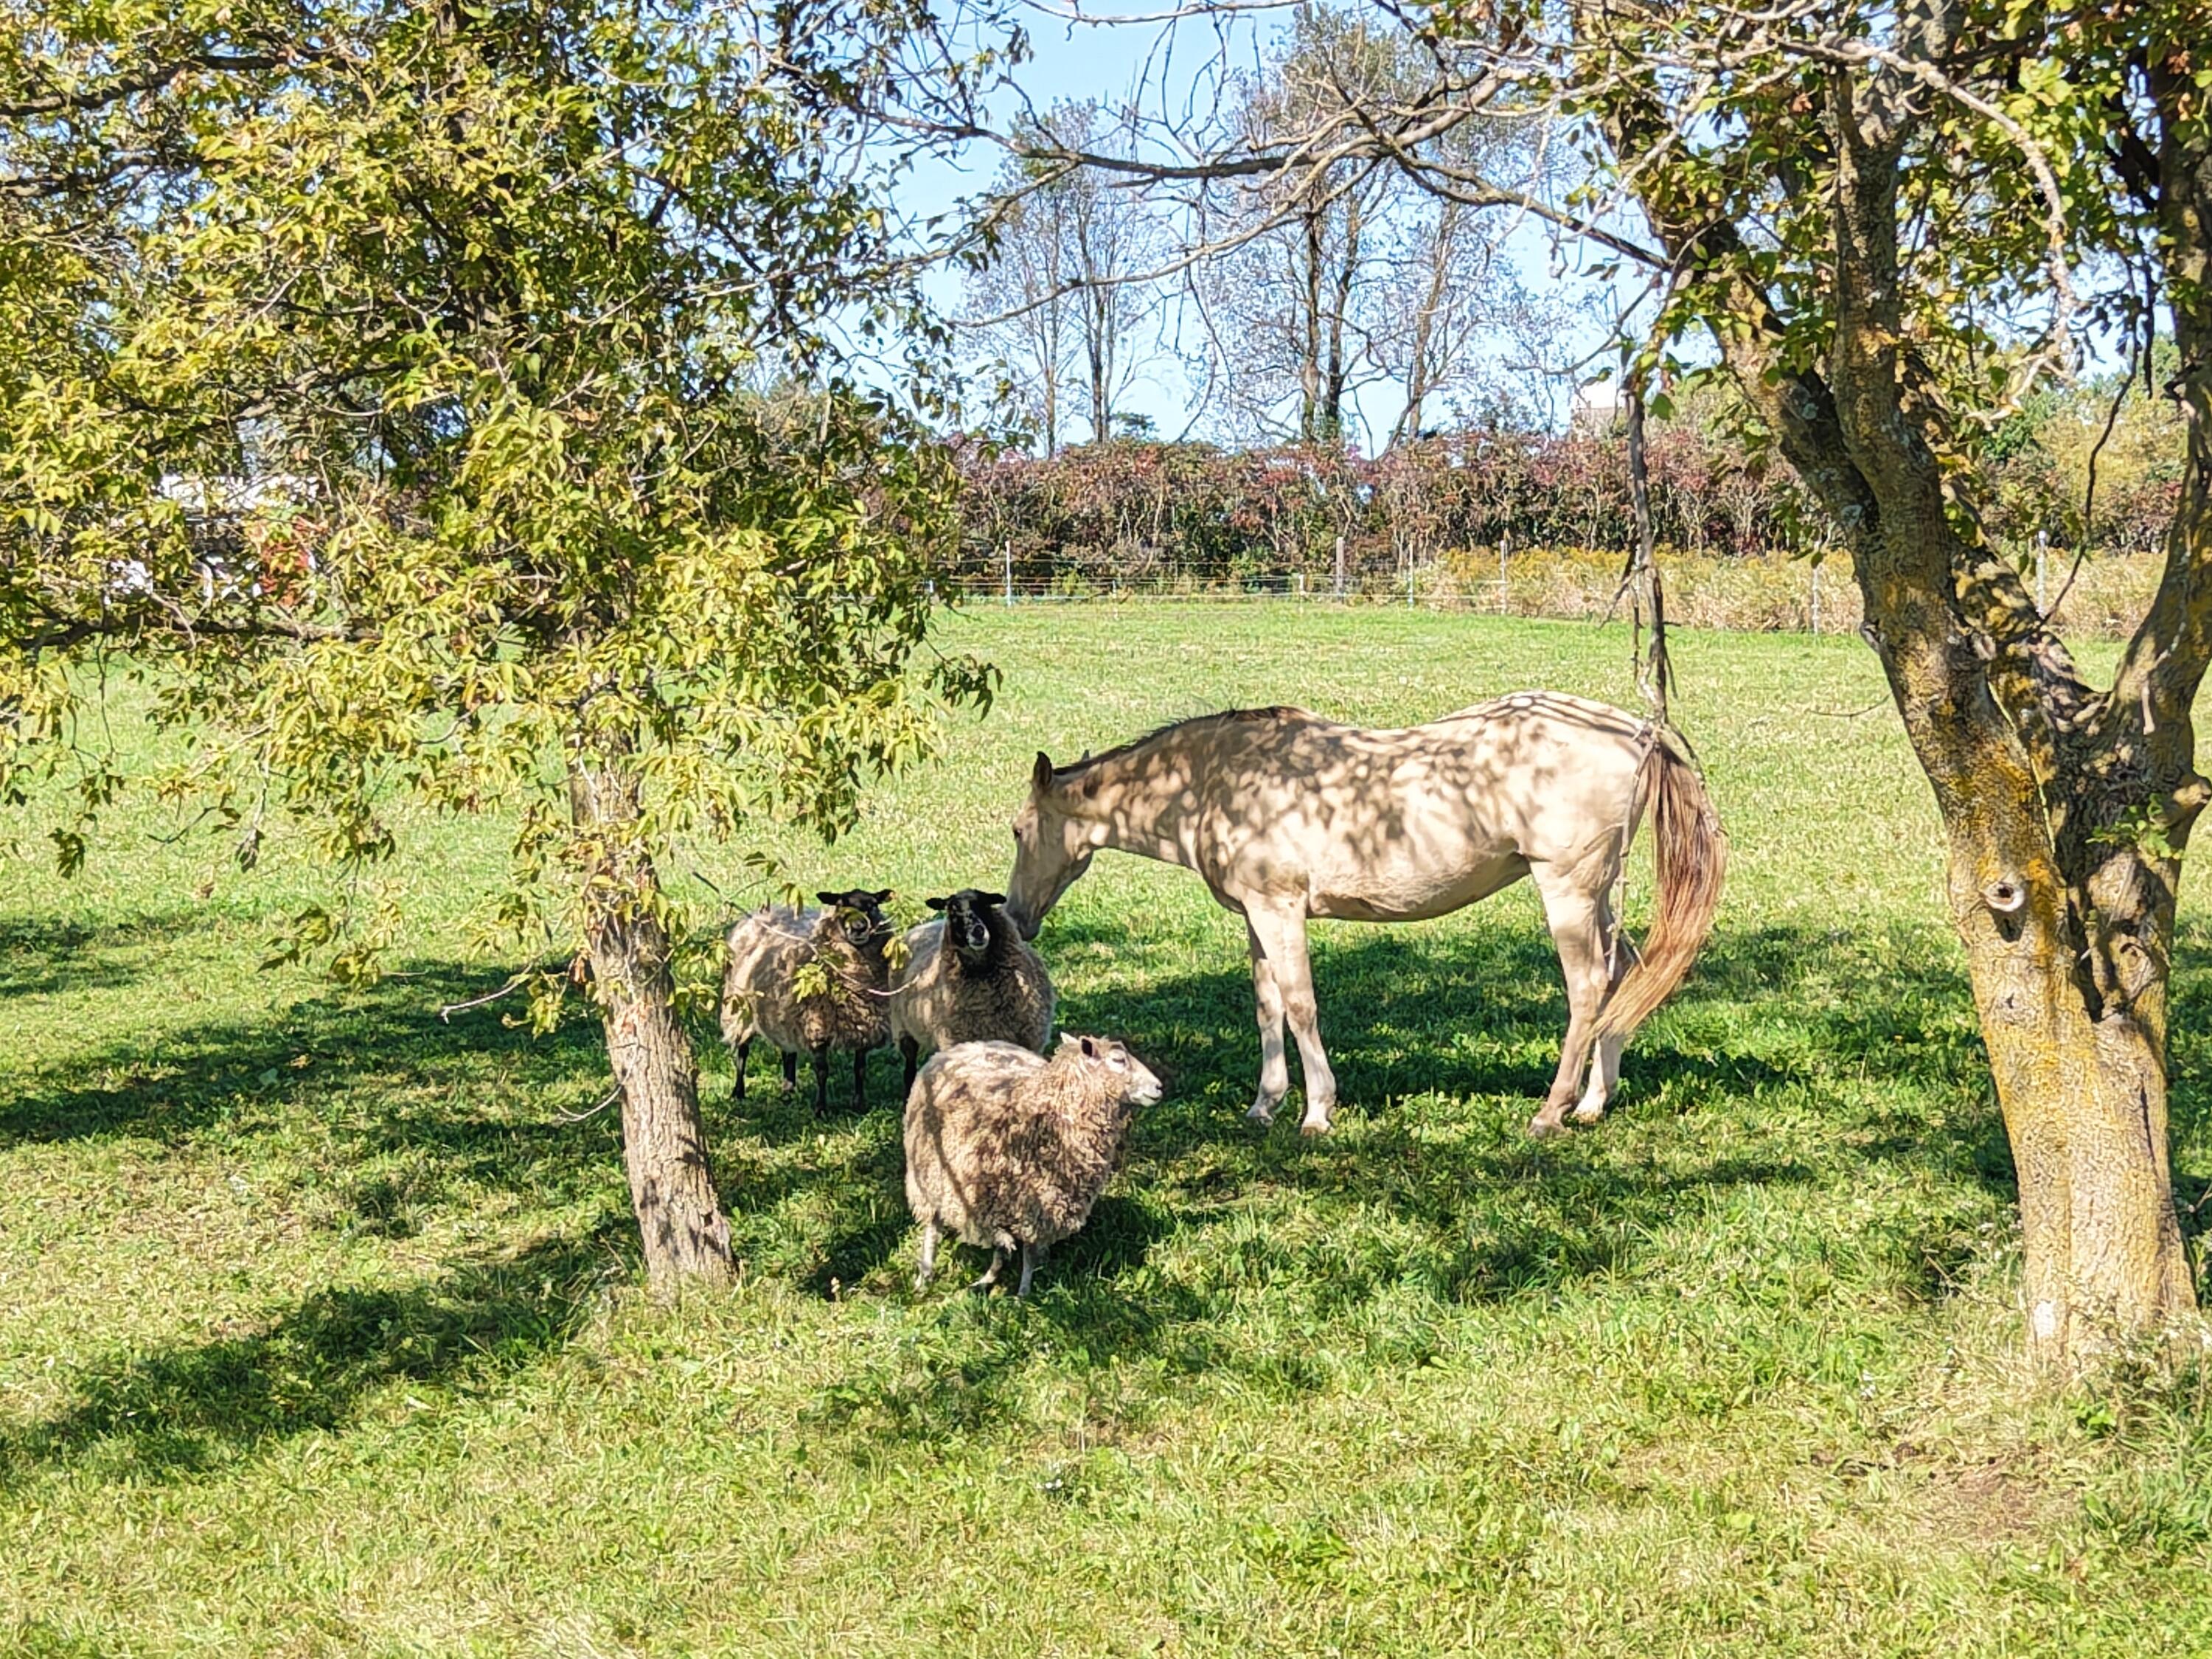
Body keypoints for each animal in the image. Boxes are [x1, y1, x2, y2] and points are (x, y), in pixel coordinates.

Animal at [721, 887, 894, 1116]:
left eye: (873, 905)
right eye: (840, 905)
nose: (859, 928)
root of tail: (763, 912)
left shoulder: (864, 1028)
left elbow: (860, 1069)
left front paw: (859, 1105)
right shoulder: (818, 1027)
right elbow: (822, 1071)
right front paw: (821, 1109)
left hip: (784, 1011)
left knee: (788, 1053)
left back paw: (788, 1091)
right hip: (741, 1010)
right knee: (742, 1050)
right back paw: (739, 1092)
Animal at [889, 888, 1056, 1094]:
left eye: (984, 904)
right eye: (952, 911)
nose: (978, 931)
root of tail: (925, 926)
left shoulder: (1027, 1041)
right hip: (902, 1028)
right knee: (909, 1067)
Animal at [905, 1033, 1163, 1297]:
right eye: (1119, 1060)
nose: (1159, 1087)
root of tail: (970, 1045)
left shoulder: (1035, 1205)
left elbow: (1024, 1252)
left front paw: (1016, 1289)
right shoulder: (1031, 1202)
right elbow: (1023, 1251)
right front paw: (1023, 1294)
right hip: (928, 1175)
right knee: (932, 1226)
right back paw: (925, 1276)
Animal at [1004, 693, 1724, 1137]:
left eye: (1017, 830)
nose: (1016, 916)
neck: (1213, 781)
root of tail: (1638, 733)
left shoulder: (1282, 910)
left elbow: (1301, 1005)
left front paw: (1317, 1110)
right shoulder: (1256, 917)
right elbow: (1267, 1007)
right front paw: (1264, 1105)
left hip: (1567, 892)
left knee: (1587, 989)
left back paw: (1553, 1111)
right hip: (1599, 898)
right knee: (1622, 976)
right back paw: (1595, 1103)